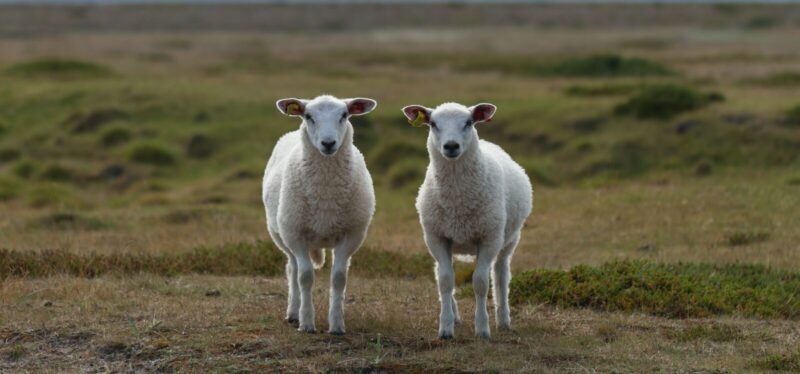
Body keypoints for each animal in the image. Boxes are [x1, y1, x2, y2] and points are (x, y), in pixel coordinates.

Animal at [260, 95, 376, 334]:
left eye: (344, 115)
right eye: (308, 116)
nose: (328, 143)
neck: (326, 192)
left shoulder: (351, 235)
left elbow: (339, 278)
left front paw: (337, 324)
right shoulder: (296, 234)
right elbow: (305, 277)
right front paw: (306, 322)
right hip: (283, 235)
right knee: (292, 269)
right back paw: (293, 312)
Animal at [400, 101, 532, 338]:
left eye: (469, 122)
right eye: (433, 124)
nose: (451, 146)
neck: (458, 200)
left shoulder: (489, 238)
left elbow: (480, 283)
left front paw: (482, 328)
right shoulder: (437, 238)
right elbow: (445, 281)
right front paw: (445, 327)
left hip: (509, 238)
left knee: (500, 274)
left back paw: (503, 319)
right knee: (440, 273)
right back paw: (454, 314)